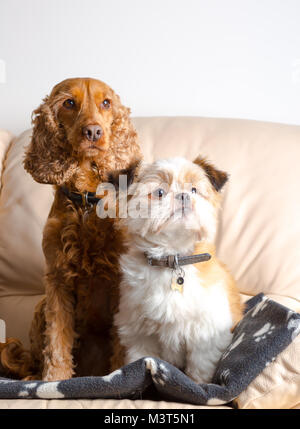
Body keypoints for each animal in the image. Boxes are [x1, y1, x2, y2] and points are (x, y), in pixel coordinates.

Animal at [109, 155, 243, 382]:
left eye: (194, 190)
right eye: (159, 192)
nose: (183, 196)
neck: (173, 259)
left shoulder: (206, 331)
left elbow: (200, 367)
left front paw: (199, 386)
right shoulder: (139, 332)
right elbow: (141, 358)